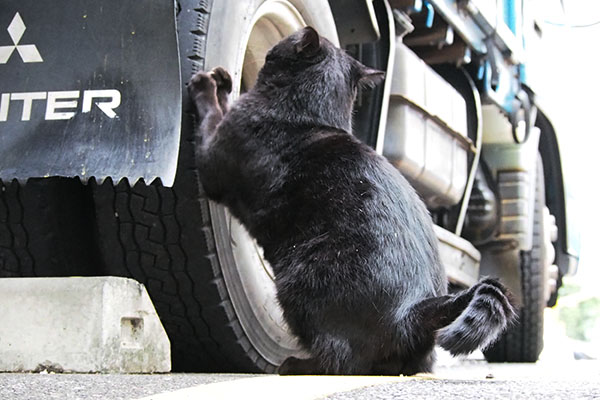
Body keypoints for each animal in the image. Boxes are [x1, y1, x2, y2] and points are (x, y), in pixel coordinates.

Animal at [189, 27, 516, 376]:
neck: (309, 115)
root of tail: (414, 309)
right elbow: (223, 106)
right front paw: (223, 82)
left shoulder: (212, 158)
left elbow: (211, 115)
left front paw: (206, 85)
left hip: (301, 280)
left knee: (341, 360)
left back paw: (294, 364)